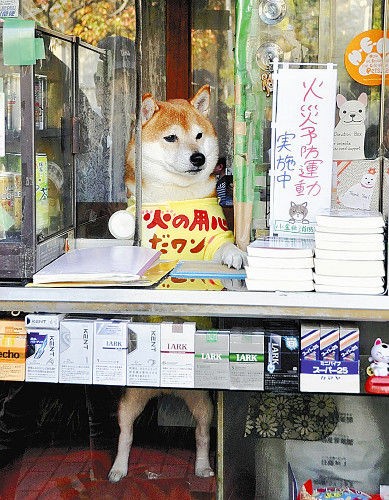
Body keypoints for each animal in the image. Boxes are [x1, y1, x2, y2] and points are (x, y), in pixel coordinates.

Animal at [107, 86, 244, 484]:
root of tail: (167, 385)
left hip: (203, 403)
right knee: (126, 434)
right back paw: (118, 469)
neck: (177, 195)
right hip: (130, 399)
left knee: (201, 435)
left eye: (198, 135)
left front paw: (234, 258)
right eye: (171, 138)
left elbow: (225, 246)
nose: (199, 157)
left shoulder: (215, 233)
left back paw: (203, 467)